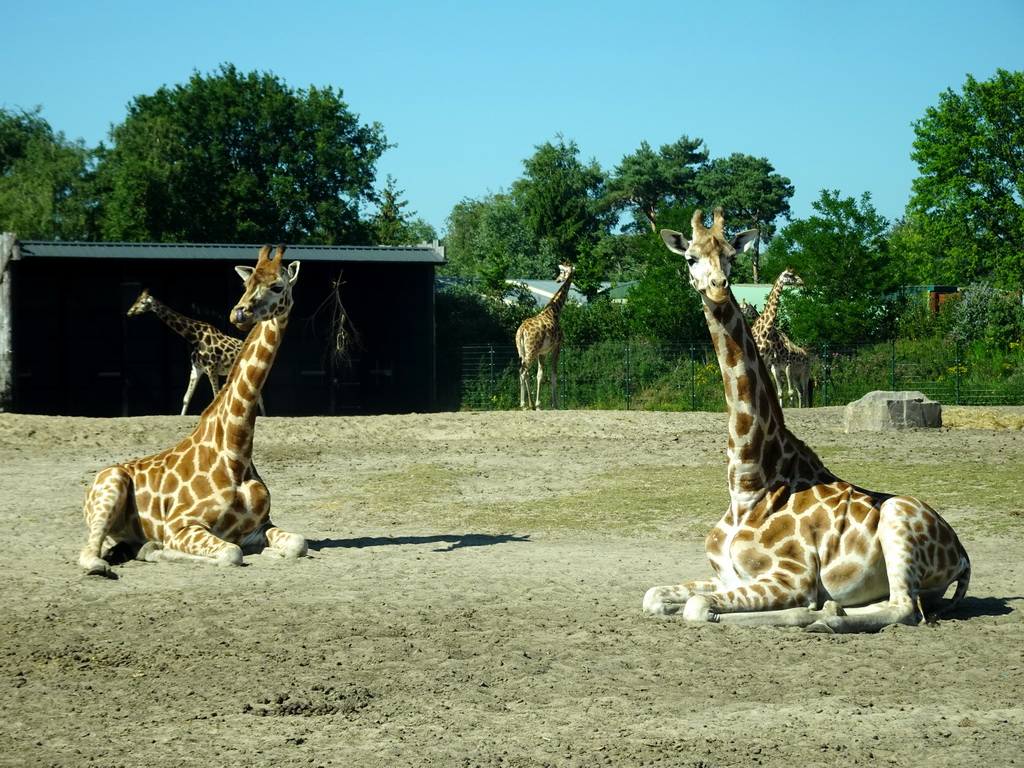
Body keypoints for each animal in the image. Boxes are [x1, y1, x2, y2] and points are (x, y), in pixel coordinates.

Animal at [80, 246, 305, 577]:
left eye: (278, 286)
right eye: (247, 282)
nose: (239, 314)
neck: (236, 451)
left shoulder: (259, 526)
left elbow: (298, 544)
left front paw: (273, 553)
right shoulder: (180, 526)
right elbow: (231, 554)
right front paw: (155, 549)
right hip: (111, 486)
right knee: (89, 552)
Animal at [643, 207, 970, 634]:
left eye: (731, 255)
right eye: (690, 258)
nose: (717, 287)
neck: (748, 484)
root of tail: (962, 553)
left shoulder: (793, 576)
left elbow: (697, 607)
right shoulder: (725, 576)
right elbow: (653, 596)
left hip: (897, 520)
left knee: (904, 609)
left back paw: (824, 618)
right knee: (889, 605)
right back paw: (831, 613)